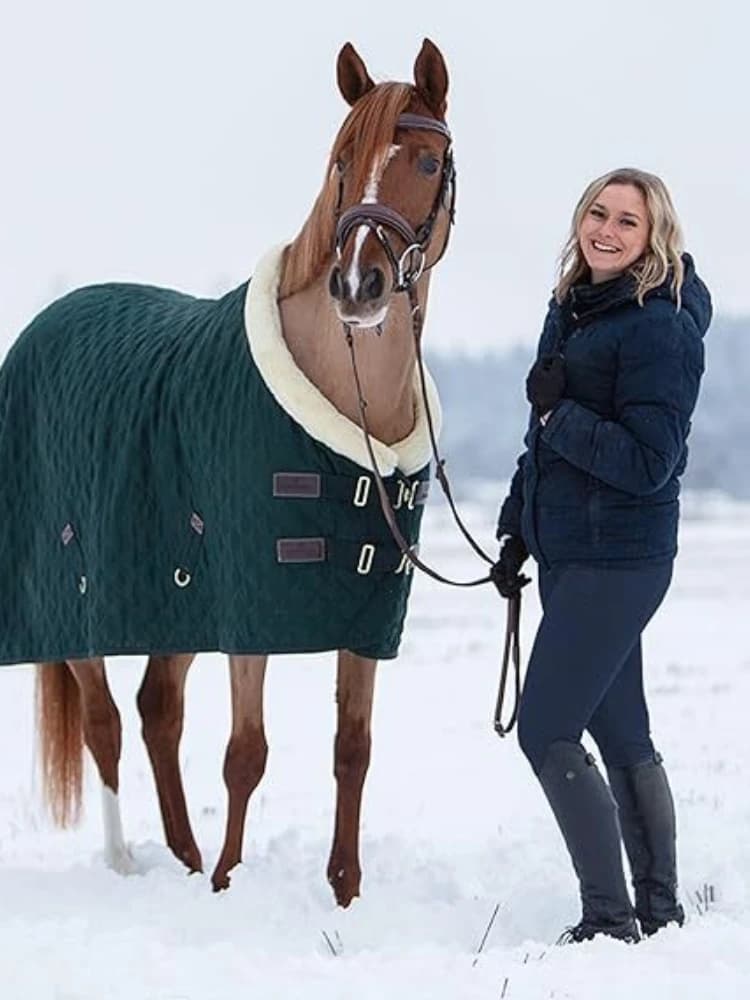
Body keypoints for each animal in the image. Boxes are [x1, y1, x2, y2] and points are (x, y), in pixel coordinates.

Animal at [1, 39, 455, 907]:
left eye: (425, 158)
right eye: (341, 160)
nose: (359, 285)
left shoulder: (365, 613)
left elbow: (353, 747)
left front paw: (344, 891)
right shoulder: (250, 609)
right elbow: (246, 751)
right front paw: (227, 881)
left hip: (170, 599)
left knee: (157, 709)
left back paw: (181, 854)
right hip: (76, 601)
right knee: (106, 722)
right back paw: (129, 863)